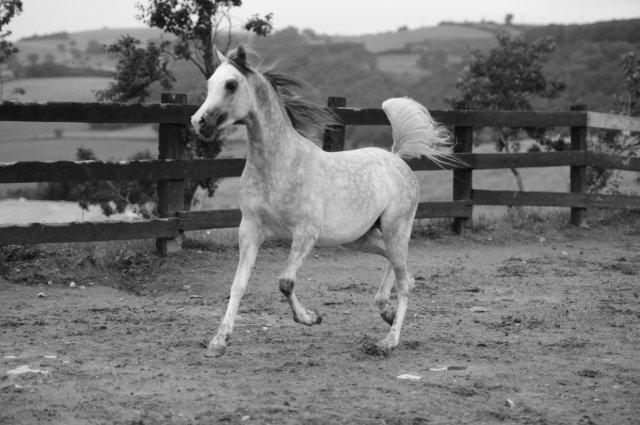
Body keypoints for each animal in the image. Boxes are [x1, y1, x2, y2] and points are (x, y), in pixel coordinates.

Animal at [191, 45, 456, 358]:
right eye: (210, 84)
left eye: (231, 85)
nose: (199, 122)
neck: (279, 165)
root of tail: (396, 158)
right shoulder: (250, 229)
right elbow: (238, 284)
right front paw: (218, 341)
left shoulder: (306, 233)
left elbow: (285, 282)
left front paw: (311, 318)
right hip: (360, 238)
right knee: (398, 265)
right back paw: (385, 311)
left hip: (396, 228)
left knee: (405, 283)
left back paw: (388, 341)